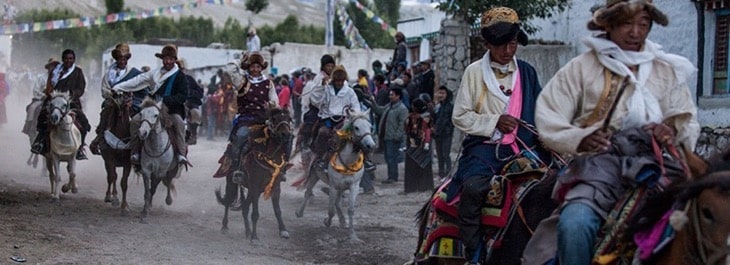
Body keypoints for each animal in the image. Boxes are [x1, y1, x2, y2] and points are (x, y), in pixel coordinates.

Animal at [216, 107, 292, 243]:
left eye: (289, 119)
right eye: (274, 119)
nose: (286, 135)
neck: (269, 157)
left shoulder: (275, 186)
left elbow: (277, 211)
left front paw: (283, 230)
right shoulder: (255, 186)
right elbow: (255, 214)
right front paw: (255, 238)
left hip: (252, 190)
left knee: (245, 208)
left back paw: (247, 231)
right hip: (231, 182)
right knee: (228, 201)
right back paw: (225, 226)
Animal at [294, 108, 376, 240]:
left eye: (370, 126)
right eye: (356, 127)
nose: (371, 146)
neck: (347, 161)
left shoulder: (354, 186)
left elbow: (350, 210)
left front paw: (352, 235)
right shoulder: (333, 186)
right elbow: (331, 209)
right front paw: (327, 224)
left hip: (342, 186)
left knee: (337, 203)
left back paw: (342, 221)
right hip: (314, 175)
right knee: (308, 193)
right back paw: (299, 212)